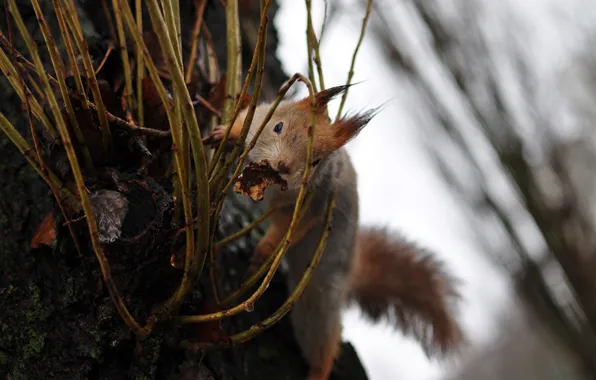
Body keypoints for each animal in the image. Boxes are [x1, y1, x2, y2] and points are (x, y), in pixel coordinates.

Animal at [207, 84, 464, 380]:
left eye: (316, 161)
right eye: (278, 126)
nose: (284, 166)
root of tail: (351, 272)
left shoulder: (312, 204)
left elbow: (287, 230)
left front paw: (265, 249)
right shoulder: (262, 114)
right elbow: (246, 120)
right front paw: (224, 132)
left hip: (317, 302)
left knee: (325, 347)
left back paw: (317, 373)